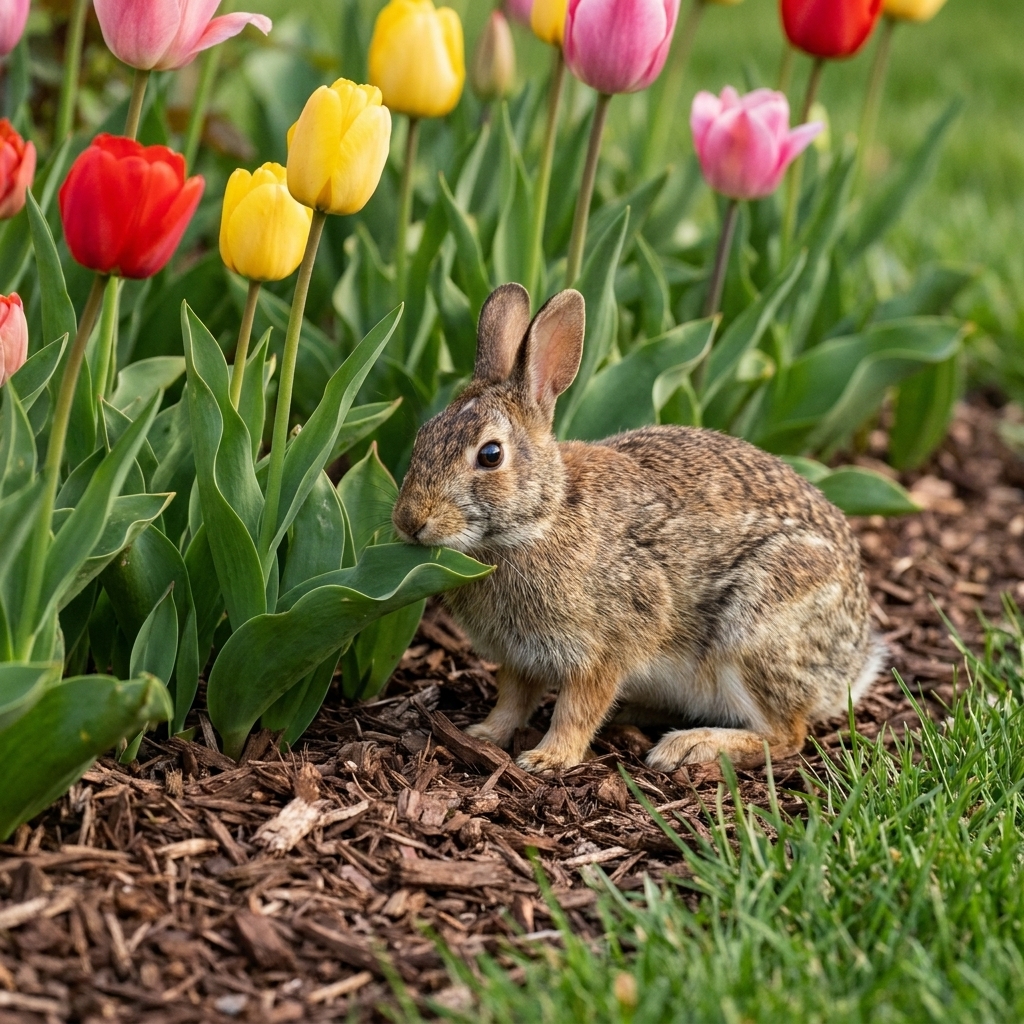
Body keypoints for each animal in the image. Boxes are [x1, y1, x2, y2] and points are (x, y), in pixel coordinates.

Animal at [392, 283, 885, 774]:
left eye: (490, 455)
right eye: (422, 435)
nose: (410, 521)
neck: (541, 519)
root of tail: (852, 662)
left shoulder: (606, 647)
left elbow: (577, 708)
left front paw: (549, 758)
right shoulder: (519, 658)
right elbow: (512, 700)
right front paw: (484, 735)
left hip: (752, 636)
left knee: (787, 736)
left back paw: (688, 746)